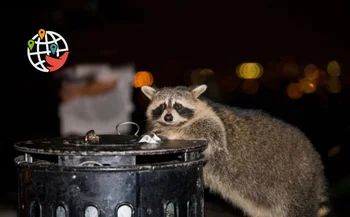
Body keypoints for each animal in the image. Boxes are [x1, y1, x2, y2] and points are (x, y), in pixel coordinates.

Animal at [141, 84, 332, 217]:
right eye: (162, 106)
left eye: (178, 106)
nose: (168, 117)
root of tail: (315, 161)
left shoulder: (213, 121)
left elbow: (209, 132)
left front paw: (172, 132)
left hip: (297, 187)